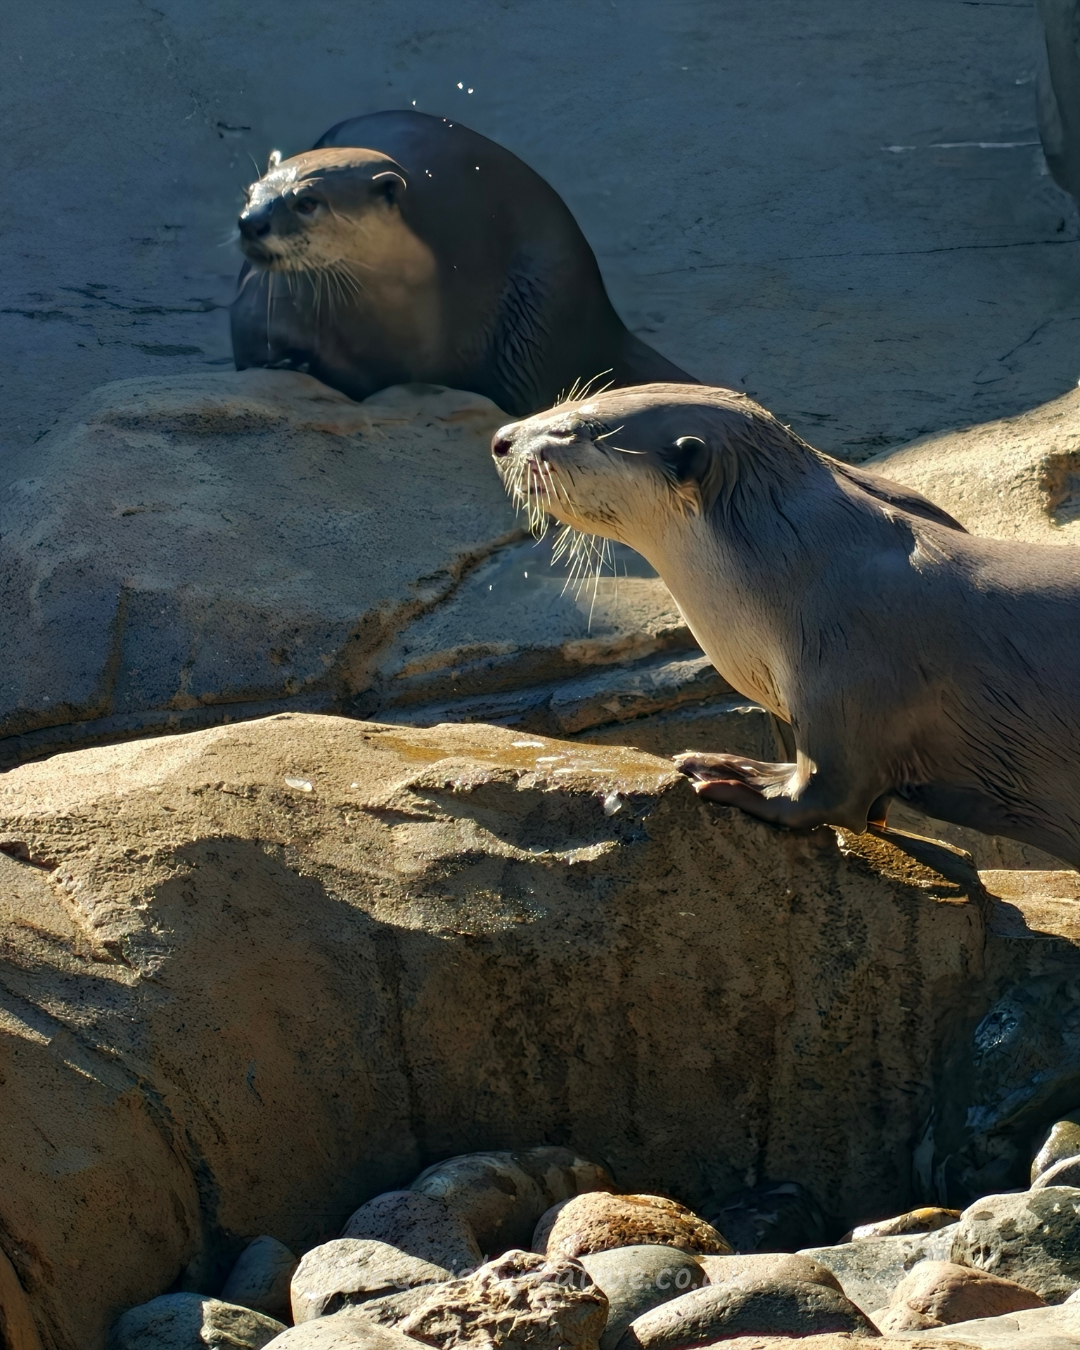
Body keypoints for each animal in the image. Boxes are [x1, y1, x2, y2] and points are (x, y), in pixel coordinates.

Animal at [230, 111, 700, 416]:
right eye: (250, 192)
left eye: (307, 202)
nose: (250, 223)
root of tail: (605, 322)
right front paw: (288, 363)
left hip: (539, 317)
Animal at [491, 383, 1080, 870]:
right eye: (571, 401)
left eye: (577, 430)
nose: (500, 439)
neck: (797, 565)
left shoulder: (847, 670)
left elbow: (826, 795)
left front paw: (743, 777)